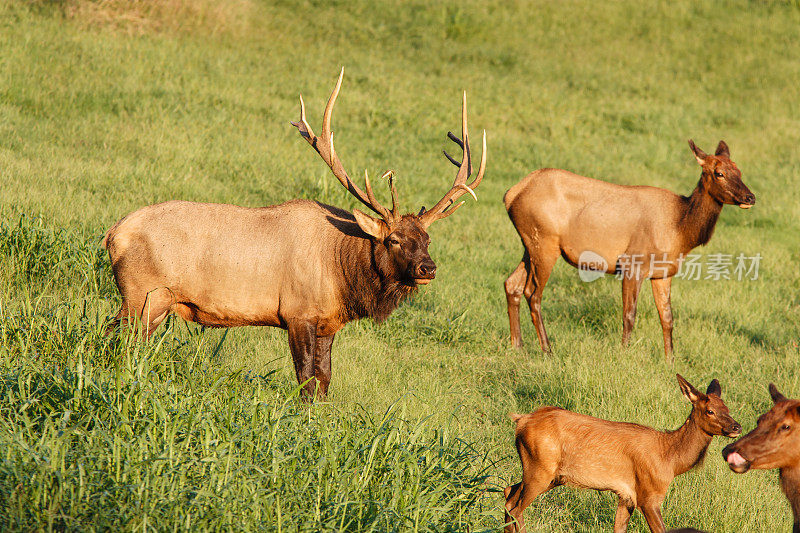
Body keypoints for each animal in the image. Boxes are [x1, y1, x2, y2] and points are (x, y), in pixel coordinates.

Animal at [504, 374, 740, 532]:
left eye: (727, 408)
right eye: (710, 411)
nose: (736, 427)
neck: (671, 459)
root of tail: (521, 421)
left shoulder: (626, 496)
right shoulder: (648, 494)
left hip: (552, 474)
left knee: (508, 493)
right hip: (540, 468)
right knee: (516, 507)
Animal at [506, 141, 756, 358]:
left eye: (739, 171)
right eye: (719, 173)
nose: (750, 196)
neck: (681, 231)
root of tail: (511, 194)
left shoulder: (663, 273)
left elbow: (667, 318)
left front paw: (670, 360)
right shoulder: (631, 263)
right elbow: (629, 315)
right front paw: (624, 354)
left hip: (530, 244)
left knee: (512, 284)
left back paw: (517, 346)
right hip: (545, 242)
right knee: (533, 293)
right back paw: (547, 350)